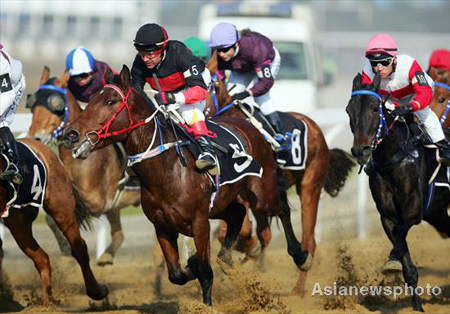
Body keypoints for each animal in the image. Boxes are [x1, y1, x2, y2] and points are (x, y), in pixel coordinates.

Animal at [0, 138, 108, 304]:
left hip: (61, 208)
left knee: (79, 249)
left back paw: (96, 291)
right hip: (17, 222)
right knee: (42, 258)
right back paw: (46, 304)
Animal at [27, 67, 140, 266]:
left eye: (57, 105)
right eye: (33, 105)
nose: (36, 137)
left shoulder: (99, 201)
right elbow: (51, 218)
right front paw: (65, 253)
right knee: (119, 233)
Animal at [62, 65, 310, 306]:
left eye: (111, 101)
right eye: (91, 99)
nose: (71, 134)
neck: (168, 168)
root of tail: (252, 128)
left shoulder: (199, 222)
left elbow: (205, 273)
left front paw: (206, 304)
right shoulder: (162, 226)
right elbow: (177, 274)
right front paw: (191, 262)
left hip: (262, 193)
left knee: (281, 209)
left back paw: (301, 256)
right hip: (221, 204)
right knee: (238, 212)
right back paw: (225, 258)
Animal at [203, 52, 356, 294]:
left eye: (210, 86)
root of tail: (314, 127)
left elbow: (241, 230)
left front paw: (248, 250)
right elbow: (233, 231)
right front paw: (246, 255)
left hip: (309, 185)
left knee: (309, 240)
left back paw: (298, 289)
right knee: (266, 233)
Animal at [348, 72, 450, 312]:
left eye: (374, 107)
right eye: (349, 110)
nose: (360, 150)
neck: (392, 157)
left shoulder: (413, 209)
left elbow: (400, 231)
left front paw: (392, 259)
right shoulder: (387, 215)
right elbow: (404, 258)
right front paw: (416, 305)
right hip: (439, 214)